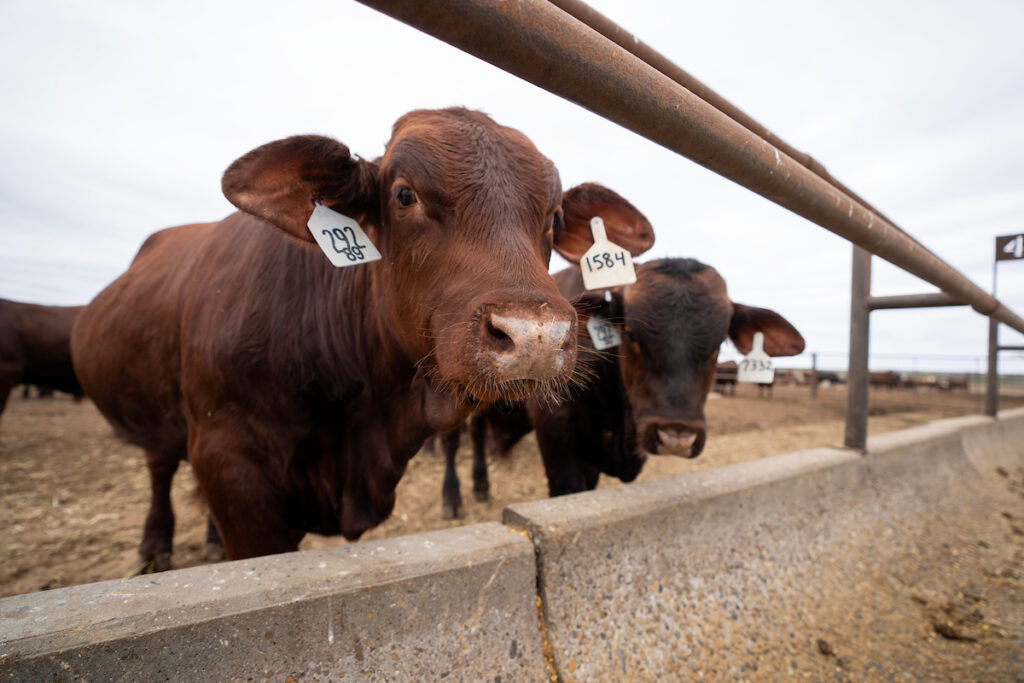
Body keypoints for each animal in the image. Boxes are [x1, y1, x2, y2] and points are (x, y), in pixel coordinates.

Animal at [75, 108, 655, 573]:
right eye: (403, 195)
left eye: (554, 217)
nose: (534, 335)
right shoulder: (231, 464)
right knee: (159, 467)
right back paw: (155, 546)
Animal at [436, 259, 802, 516]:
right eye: (631, 335)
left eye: (718, 343)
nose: (676, 434)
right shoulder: (556, 433)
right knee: (453, 440)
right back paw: (453, 498)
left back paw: (481, 485)